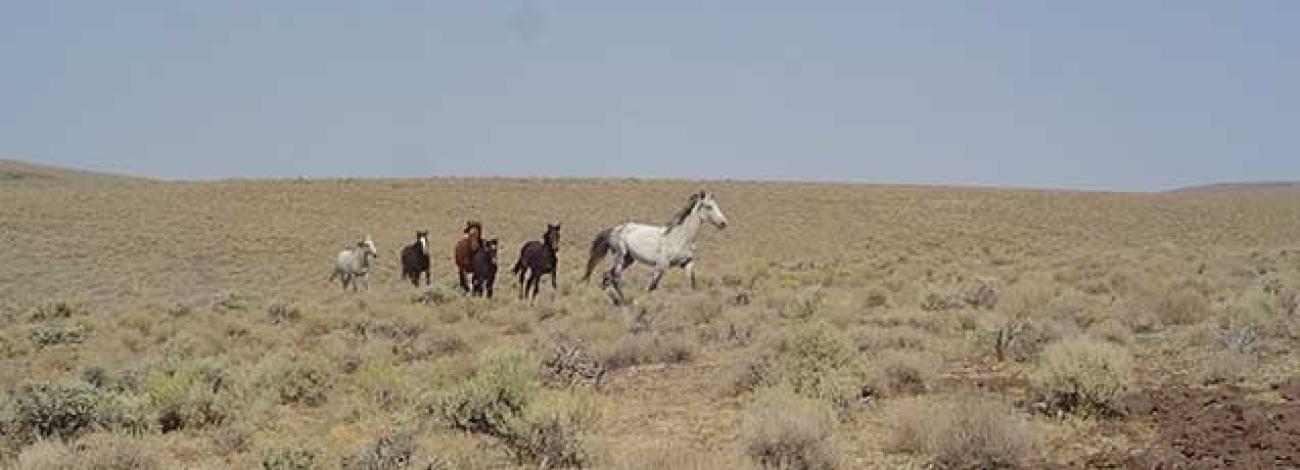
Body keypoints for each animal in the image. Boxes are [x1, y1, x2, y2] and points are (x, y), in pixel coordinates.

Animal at [582, 190, 728, 305]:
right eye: (709, 207)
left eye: (716, 205)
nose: (723, 223)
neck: (680, 237)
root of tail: (614, 229)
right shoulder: (661, 266)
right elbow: (651, 287)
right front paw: (639, 303)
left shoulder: (687, 263)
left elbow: (692, 283)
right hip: (620, 256)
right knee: (615, 277)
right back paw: (624, 300)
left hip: (629, 259)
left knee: (607, 274)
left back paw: (609, 294)